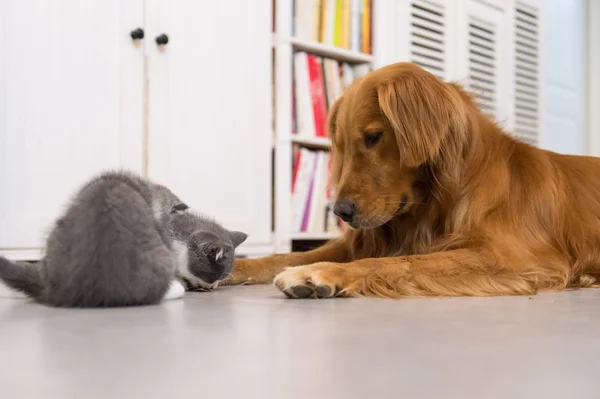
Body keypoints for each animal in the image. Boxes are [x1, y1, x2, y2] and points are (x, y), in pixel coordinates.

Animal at [224, 62, 600, 300]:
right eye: (341, 145)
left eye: (374, 137)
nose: (340, 212)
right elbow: (284, 255)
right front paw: (232, 264)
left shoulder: (514, 258)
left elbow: (396, 261)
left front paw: (320, 273)